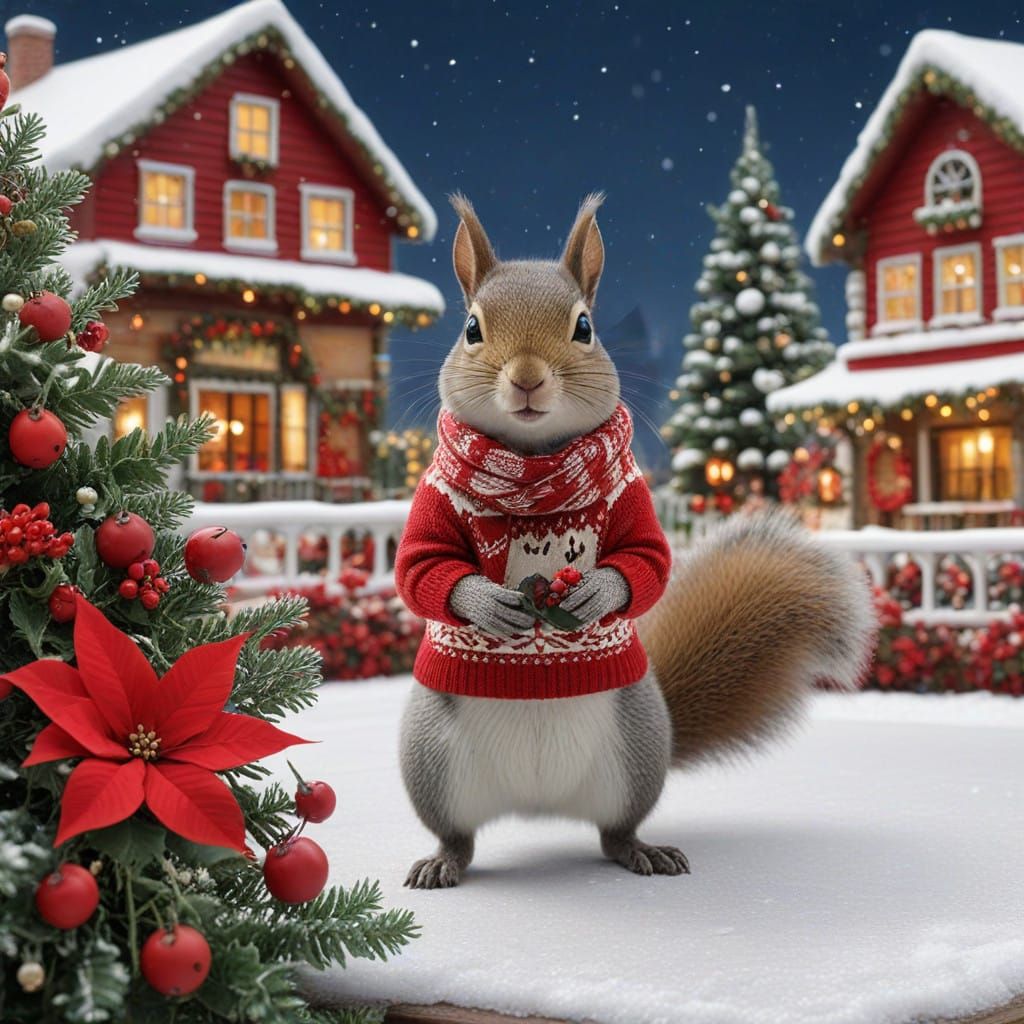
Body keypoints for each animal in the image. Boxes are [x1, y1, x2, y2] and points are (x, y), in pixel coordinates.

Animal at [393, 193, 875, 889]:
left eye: (585, 327)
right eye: (472, 329)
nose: (528, 378)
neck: (533, 461)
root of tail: (537, 804)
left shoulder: (636, 501)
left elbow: (647, 560)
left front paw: (598, 592)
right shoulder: (430, 501)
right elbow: (420, 568)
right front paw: (485, 602)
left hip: (635, 755)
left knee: (614, 831)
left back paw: (644, 851)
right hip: (430, 759)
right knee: (459, 836)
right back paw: (442, 863)